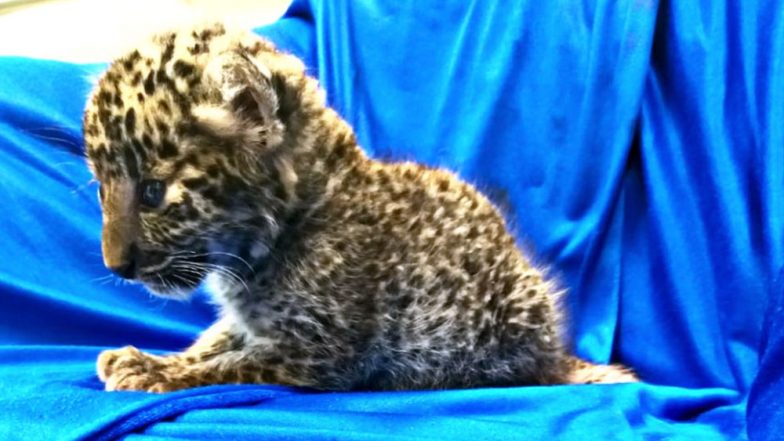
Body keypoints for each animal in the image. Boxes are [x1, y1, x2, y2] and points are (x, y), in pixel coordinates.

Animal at [83, 23, 637, 393]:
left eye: (152, 192)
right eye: (101, 188)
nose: (116, 265)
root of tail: (554, 352)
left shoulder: (318, 350)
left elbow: (230, 363)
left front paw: (153, 370)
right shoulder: (251, 324)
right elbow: (216, 339)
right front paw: (150, 356)